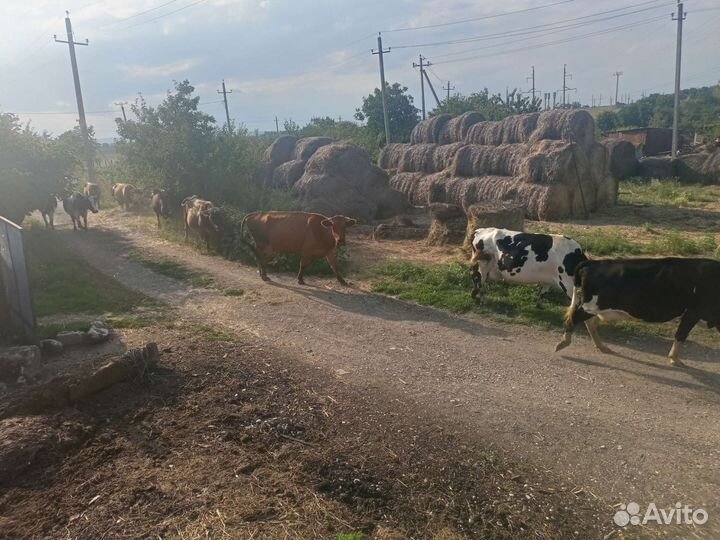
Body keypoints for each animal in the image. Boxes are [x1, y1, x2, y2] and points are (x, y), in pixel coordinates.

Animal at [554, 257, 720, 367]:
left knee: (590, 322)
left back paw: (602, 346)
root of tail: (594, 262)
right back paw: (563, 343)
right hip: (593, 304)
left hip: (596, 307)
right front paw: (674, 359)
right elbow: (681, 334)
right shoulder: (693, 312)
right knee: (575, 317)